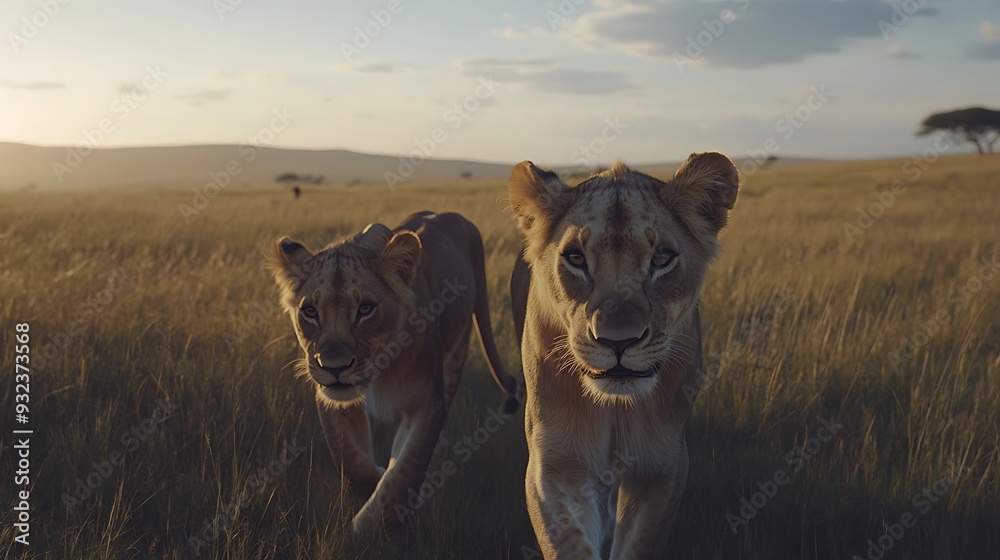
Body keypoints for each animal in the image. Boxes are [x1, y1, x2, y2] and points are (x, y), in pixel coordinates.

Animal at [266, 211, 519, 534]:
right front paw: (376, 478)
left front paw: (369, 527)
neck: (380, 372)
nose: (333, 367)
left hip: (458, 350)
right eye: (310, 312)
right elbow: (349, 459)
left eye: (365, 309)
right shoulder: (331, 400)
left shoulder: (426, 402)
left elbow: (404, 471)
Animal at [507, 153, 740, 558]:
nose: (618, 340)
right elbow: (569, 543)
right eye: (575, 258)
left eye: (661, 258)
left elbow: (638, 543)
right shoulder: (554, 463)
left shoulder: (662, 466)